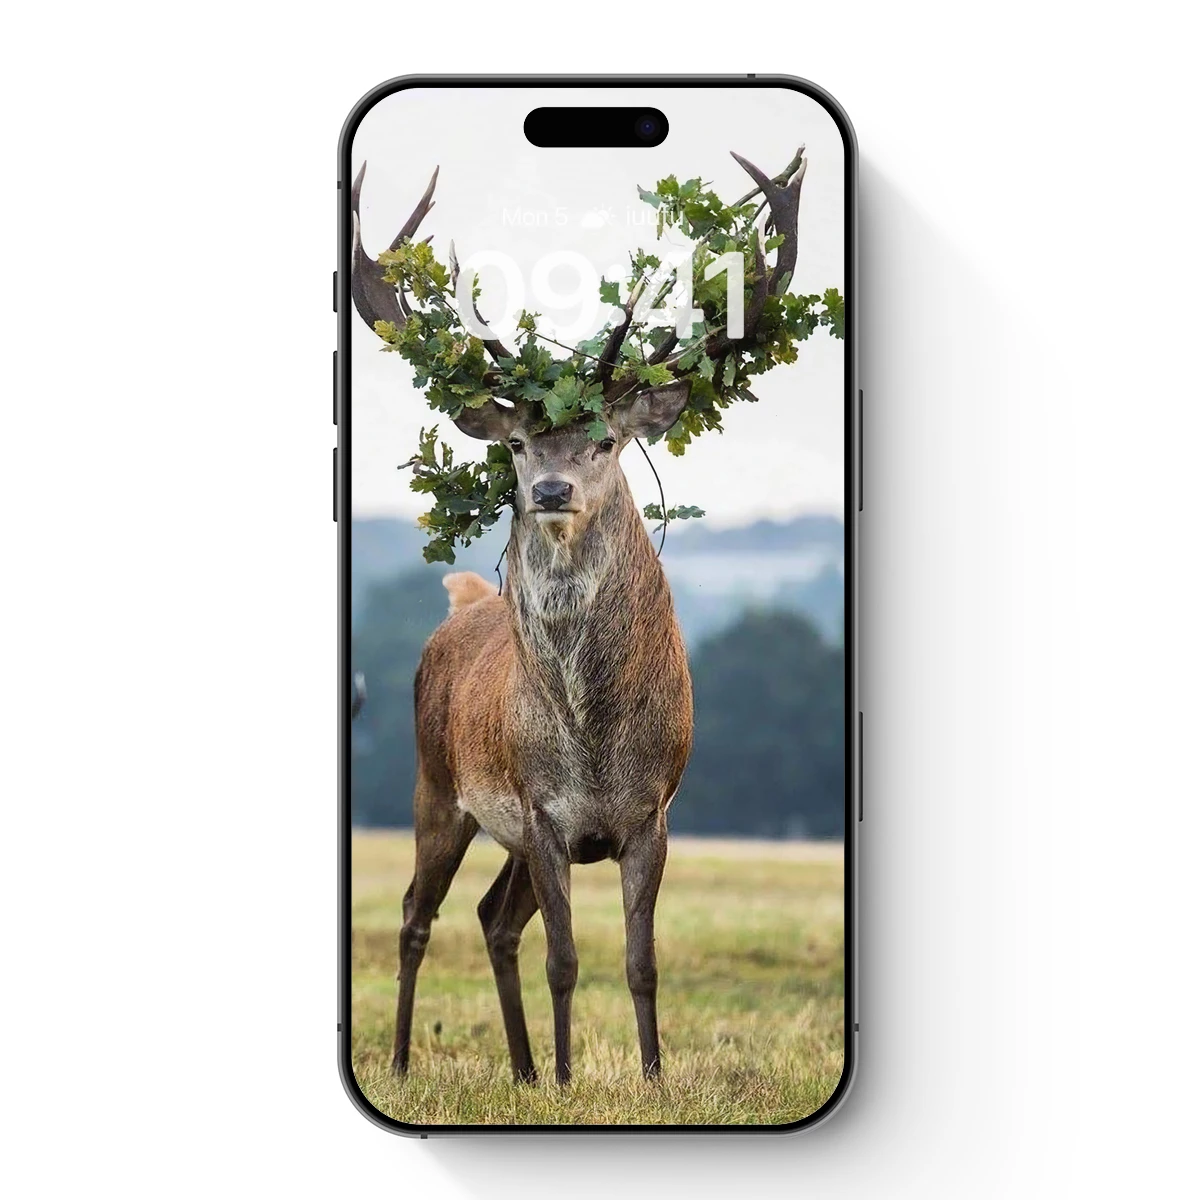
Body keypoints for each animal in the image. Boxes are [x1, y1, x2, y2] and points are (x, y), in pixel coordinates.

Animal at [349, 145, 805, 1085]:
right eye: (519, 444)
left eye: (604, 438)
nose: (552, 490)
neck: (591, 736)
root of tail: (463, 601)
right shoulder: (543, 811)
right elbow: (566, 958)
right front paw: (568, 1081)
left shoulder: (652, 813)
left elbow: (640, 961)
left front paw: (652, 1078)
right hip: (438, 785)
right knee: (416, 912)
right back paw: (410, 1062)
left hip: (505, 835)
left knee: (493, 917)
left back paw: (521, 1070)